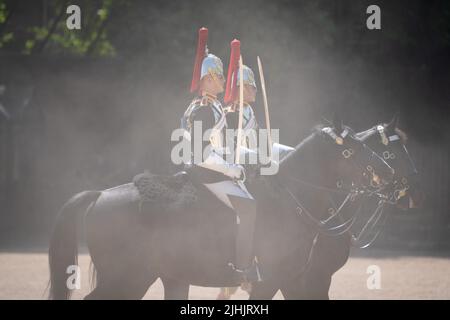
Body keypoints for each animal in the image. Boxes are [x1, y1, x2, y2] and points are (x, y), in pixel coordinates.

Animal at [47, 121, 394, 298]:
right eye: (352, 151)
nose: (388, 173)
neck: (294, 200)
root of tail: (99, 195)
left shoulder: (296, 280)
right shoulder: (273, 280)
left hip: (160, 277)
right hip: (128, 279)